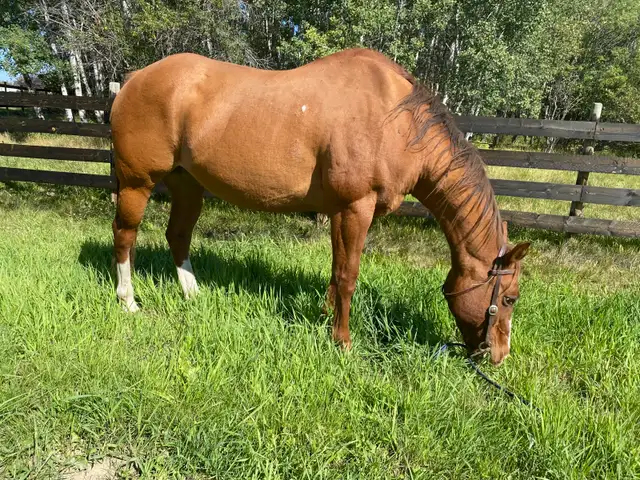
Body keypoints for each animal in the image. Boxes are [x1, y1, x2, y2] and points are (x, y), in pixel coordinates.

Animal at [109, 48, 530, 366]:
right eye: (509, 298)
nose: (499, 357)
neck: (396, 122)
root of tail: (133, 79)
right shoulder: (355, 208)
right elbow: (348, 276)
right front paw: (342, 342)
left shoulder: (341, 212)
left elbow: (335, 270)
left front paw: (326, 319)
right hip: (136, 182)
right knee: (124, 236)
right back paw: (128, 302)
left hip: (186, 184)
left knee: (178, 235)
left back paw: (193, 294)